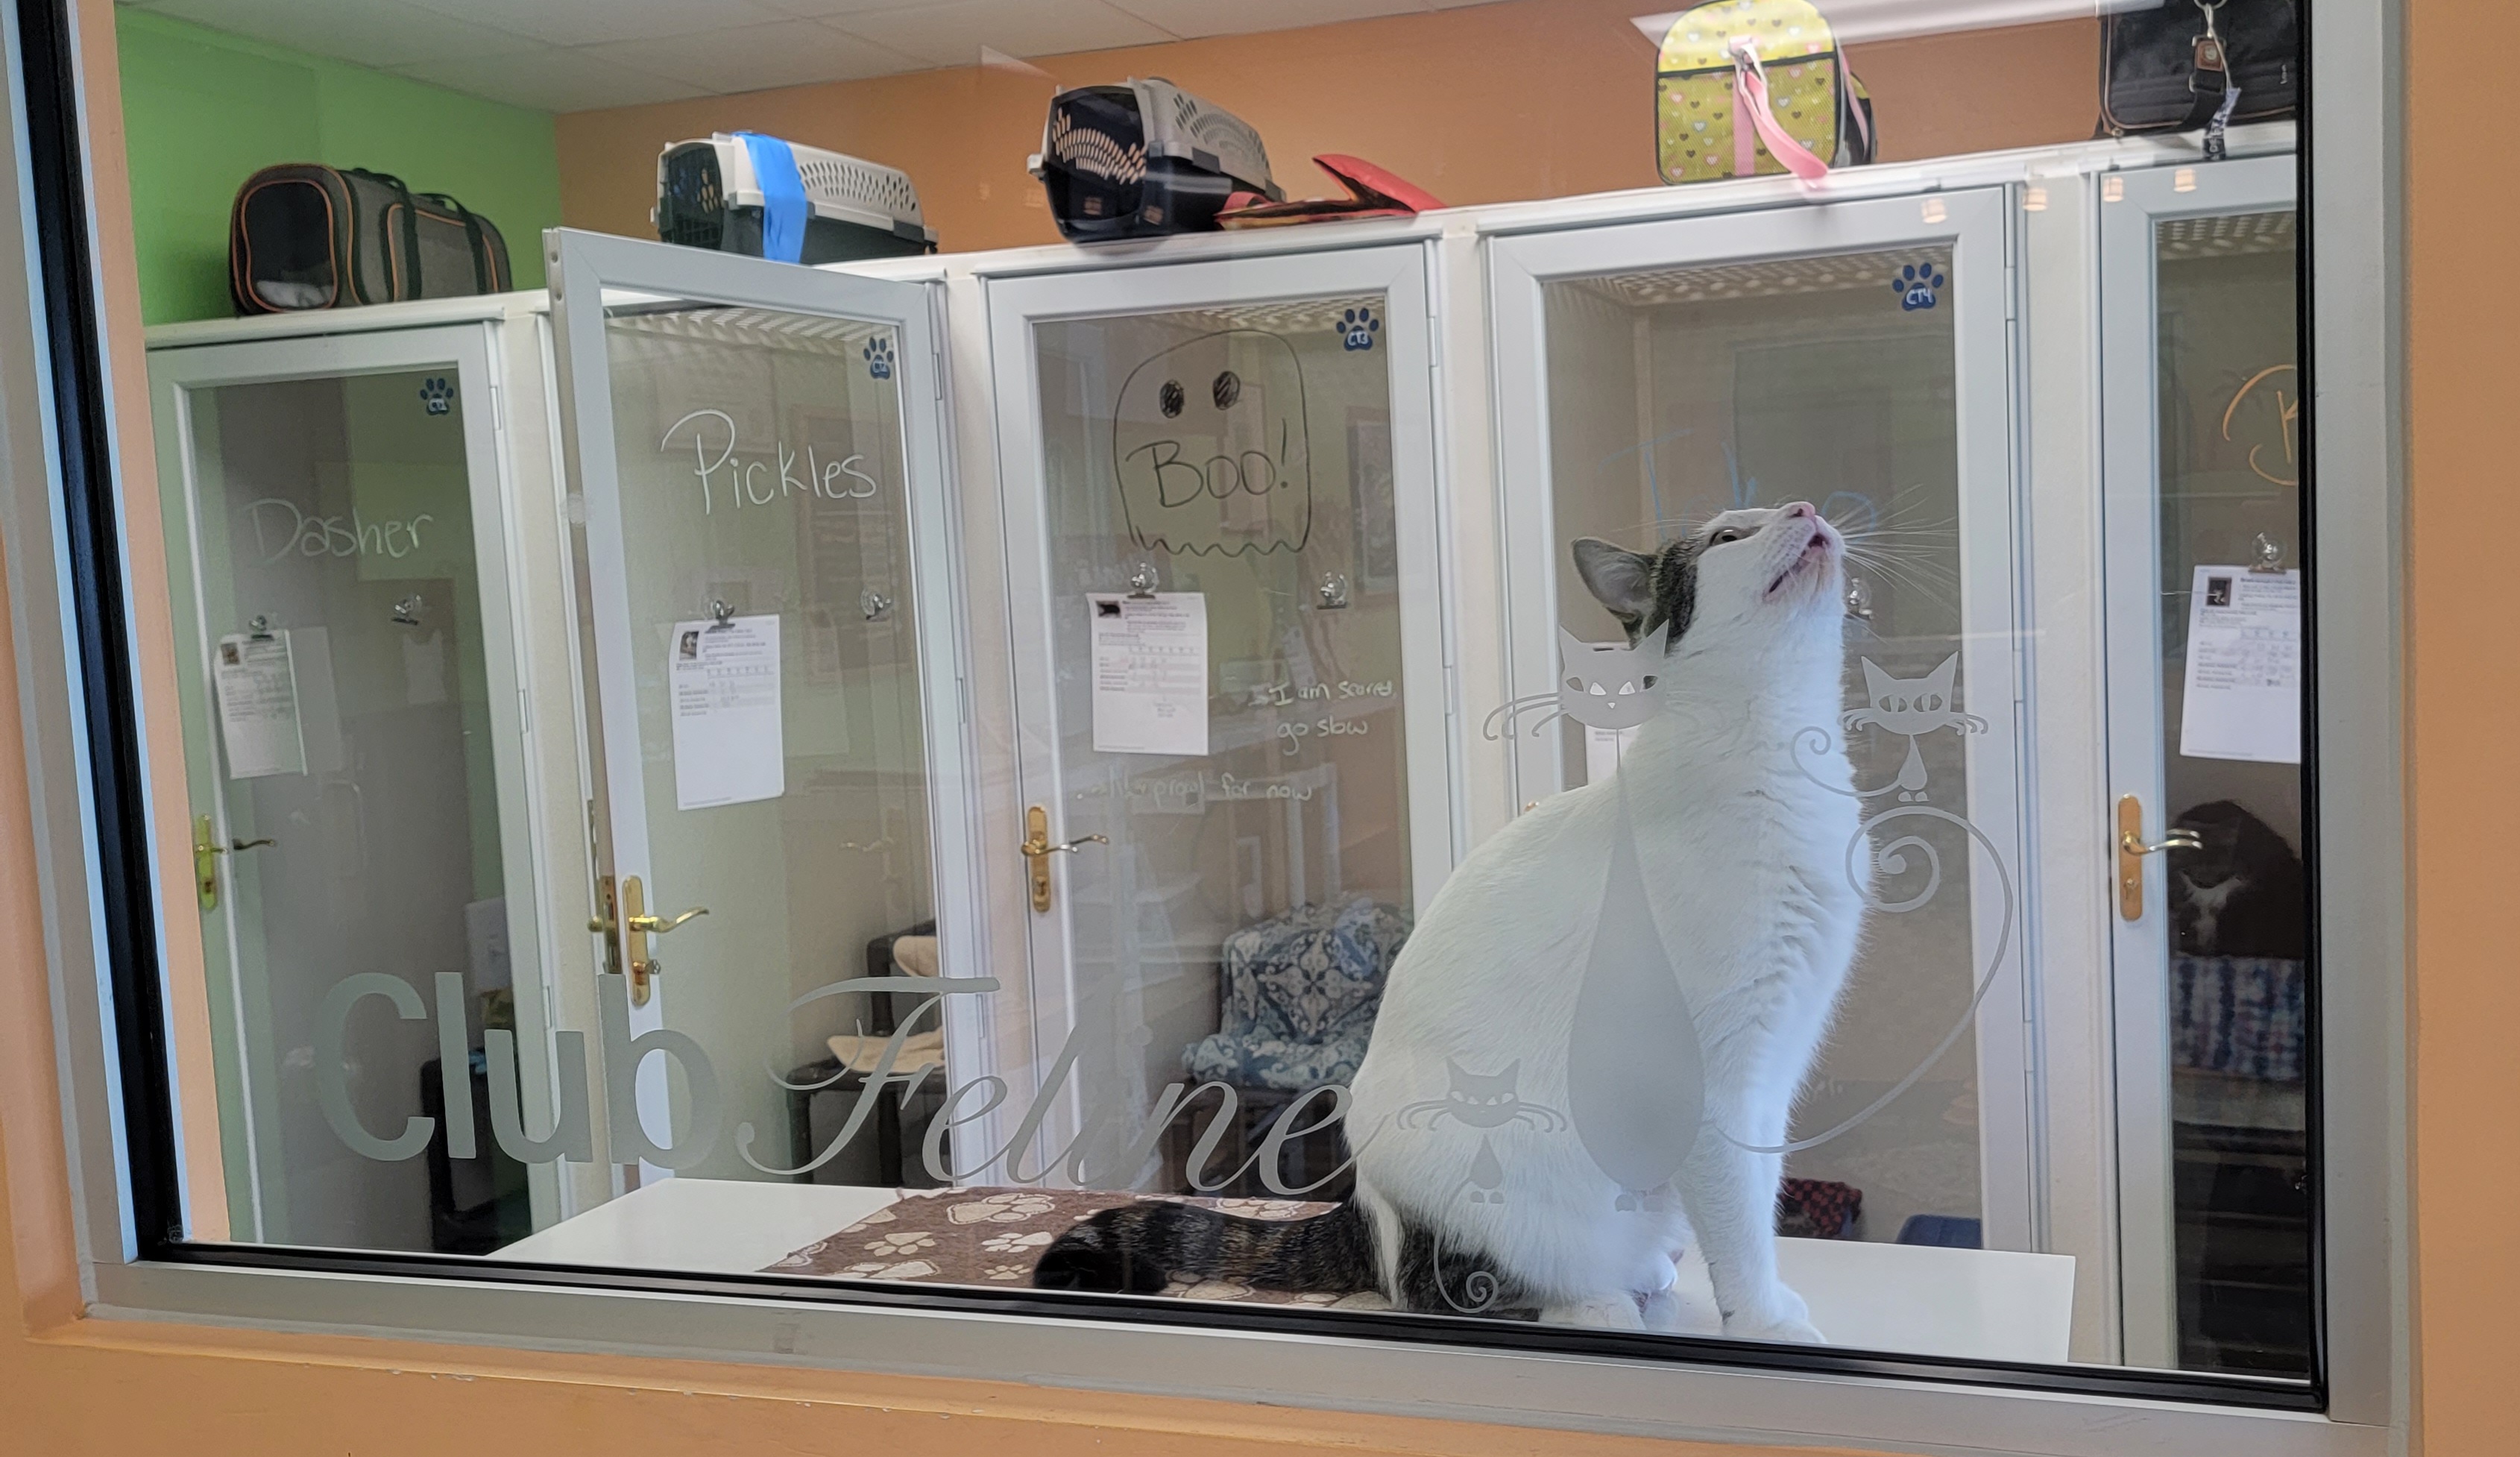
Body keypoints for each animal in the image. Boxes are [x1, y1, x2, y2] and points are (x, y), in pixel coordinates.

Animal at [1033, 501, 1865, 1341]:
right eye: (1728, 537)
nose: (1804, 509)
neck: (1778, 760)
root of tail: (1364, 1207)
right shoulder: (1715, 1085)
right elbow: (1738, 1223)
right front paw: (1765, 1321)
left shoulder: (1772, 1067)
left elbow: (1759, 1197)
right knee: (1448, 1288)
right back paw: (1593, 1302)